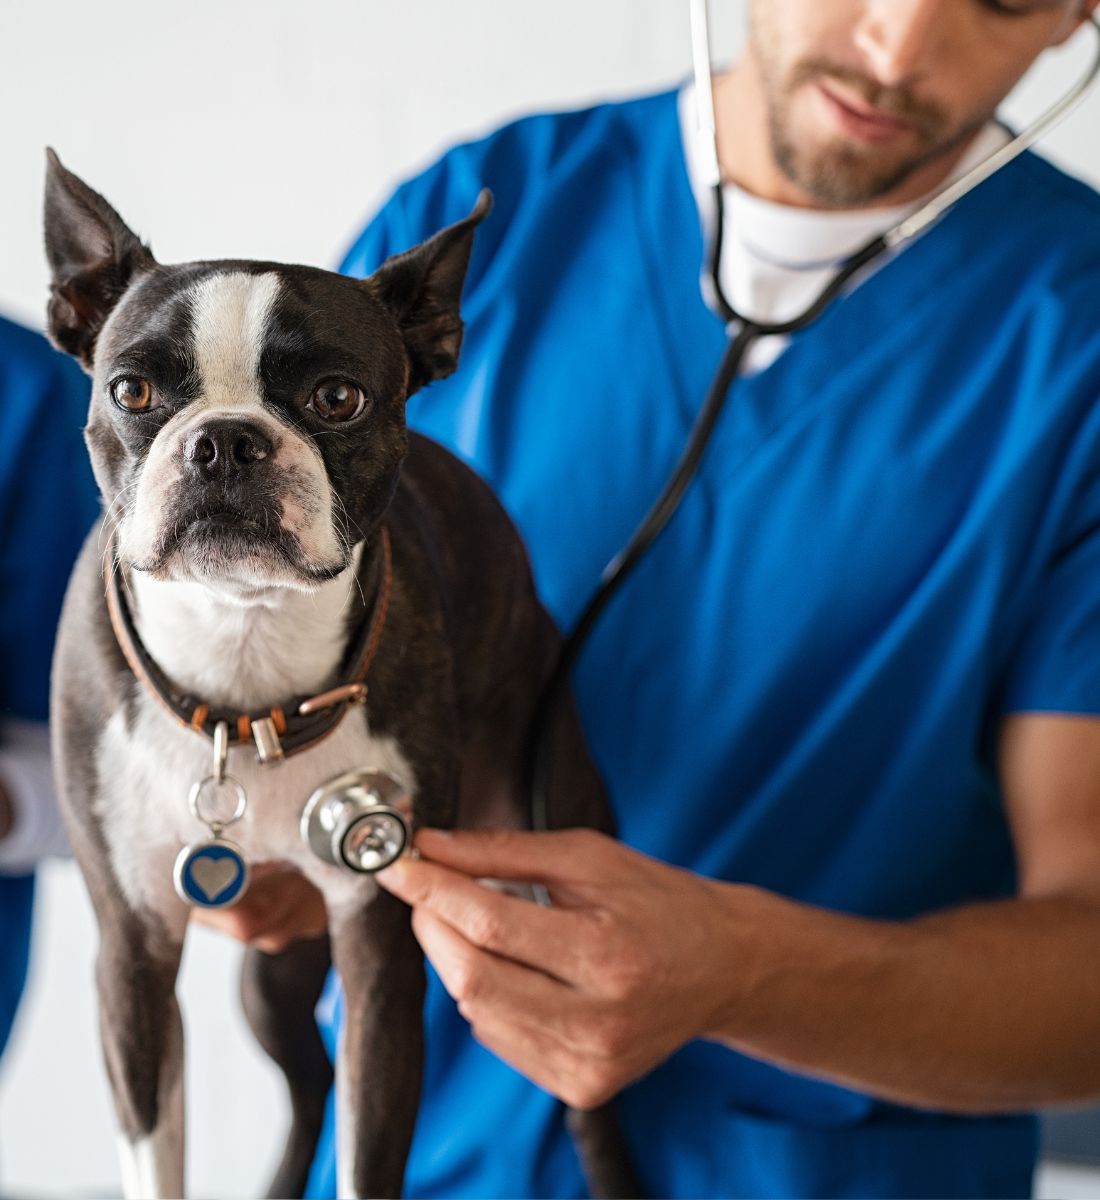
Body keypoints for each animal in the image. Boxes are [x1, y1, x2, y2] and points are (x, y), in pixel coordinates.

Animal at [42, 152, 638, 1200]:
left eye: (336, 400)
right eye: (131, 390)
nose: (225, 439)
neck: (244, 669)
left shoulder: (379, 950)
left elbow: (369, 1149)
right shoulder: (133, 953)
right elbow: (158, 1152)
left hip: (545, 853)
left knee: (583, 1099)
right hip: (270, 973)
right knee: (308, 1079)